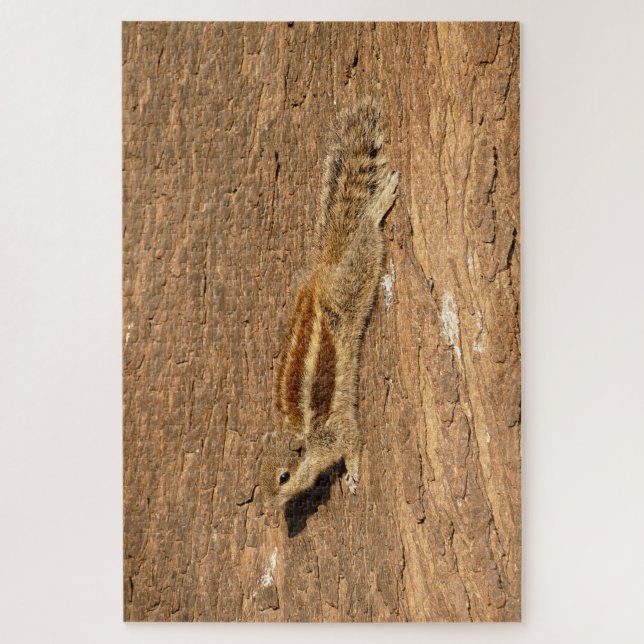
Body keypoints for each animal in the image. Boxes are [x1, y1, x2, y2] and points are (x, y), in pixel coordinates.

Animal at [259, 98, 399, 507]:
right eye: (257, 478)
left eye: (284, 476)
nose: (266, 507)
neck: (302, 433)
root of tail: (326, 264)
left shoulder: (338, 431)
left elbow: (354, 442)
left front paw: (352, 475)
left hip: (358, 273)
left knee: (366, 230)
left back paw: (379, 203)